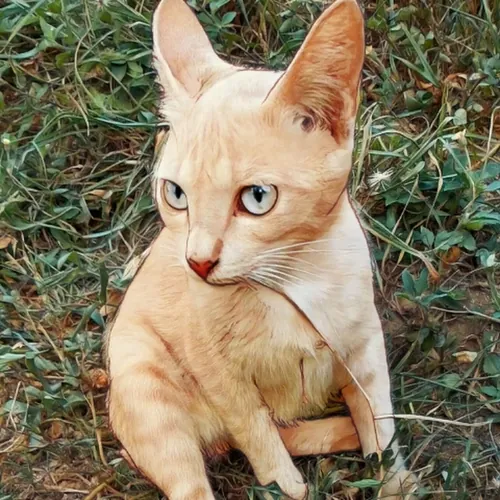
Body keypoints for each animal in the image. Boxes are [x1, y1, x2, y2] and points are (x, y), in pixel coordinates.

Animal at [106, 0, 417, 498]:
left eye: (256, 198)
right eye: (176, 194)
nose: (198, 261)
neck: (293, 282)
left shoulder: (365, 345)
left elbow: (380, 422)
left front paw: (394, 480)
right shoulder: (216, 371)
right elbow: (254, 431)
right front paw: (286, 484)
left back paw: (343, 430)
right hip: (149, 391)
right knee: (199, 472)